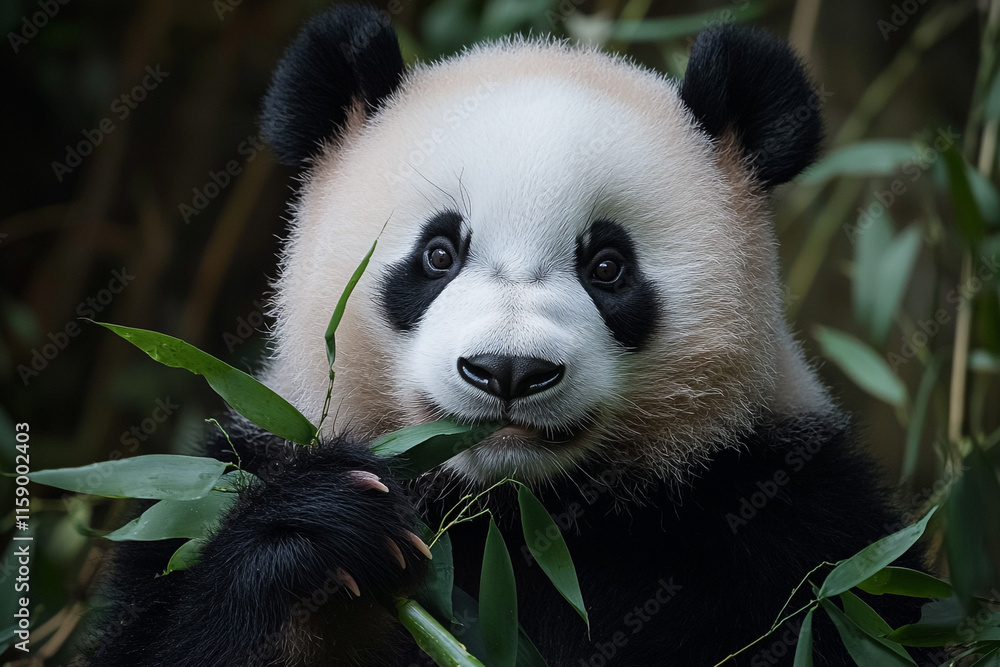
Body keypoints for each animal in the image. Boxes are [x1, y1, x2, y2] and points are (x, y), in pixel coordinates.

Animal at [81, 5, 928, 666]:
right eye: (438, 253)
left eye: (608, 265)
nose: (509, 370)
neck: (519, 514)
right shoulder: (235, 469)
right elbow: (168, 622)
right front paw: (316, 531)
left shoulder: (785, 513)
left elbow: (856, 610)